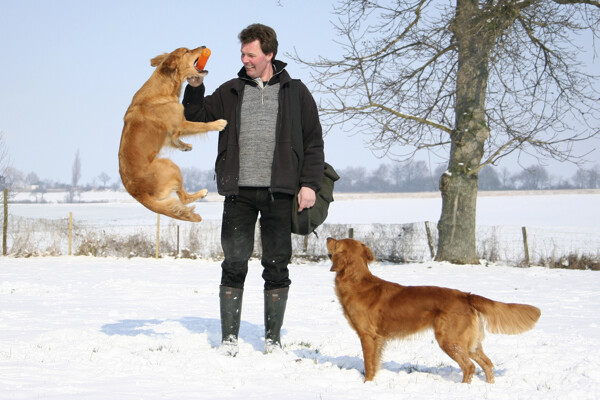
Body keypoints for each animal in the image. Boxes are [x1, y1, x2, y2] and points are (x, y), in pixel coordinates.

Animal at [118, 47, 226, 222]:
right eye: (187, 51)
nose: (204, 46)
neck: (164, 89)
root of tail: (138, 194)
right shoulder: (181, 124)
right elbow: (201, 125)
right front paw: (218, 124)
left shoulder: (172, 132)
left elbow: (175, 140)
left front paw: (185, 146)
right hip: (171, 166)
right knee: (183, 198)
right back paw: (202, 192)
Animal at [326, 238, 540, 384]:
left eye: (336, 241)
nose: (328, 237)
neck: (357, 281)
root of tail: (466, 295)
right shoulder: (378, 339)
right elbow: (376, 362)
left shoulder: (367, 335)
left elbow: (369, 364)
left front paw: (367, 383)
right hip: (470, 343)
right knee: (487, 364)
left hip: (450, 340)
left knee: (469, 366)